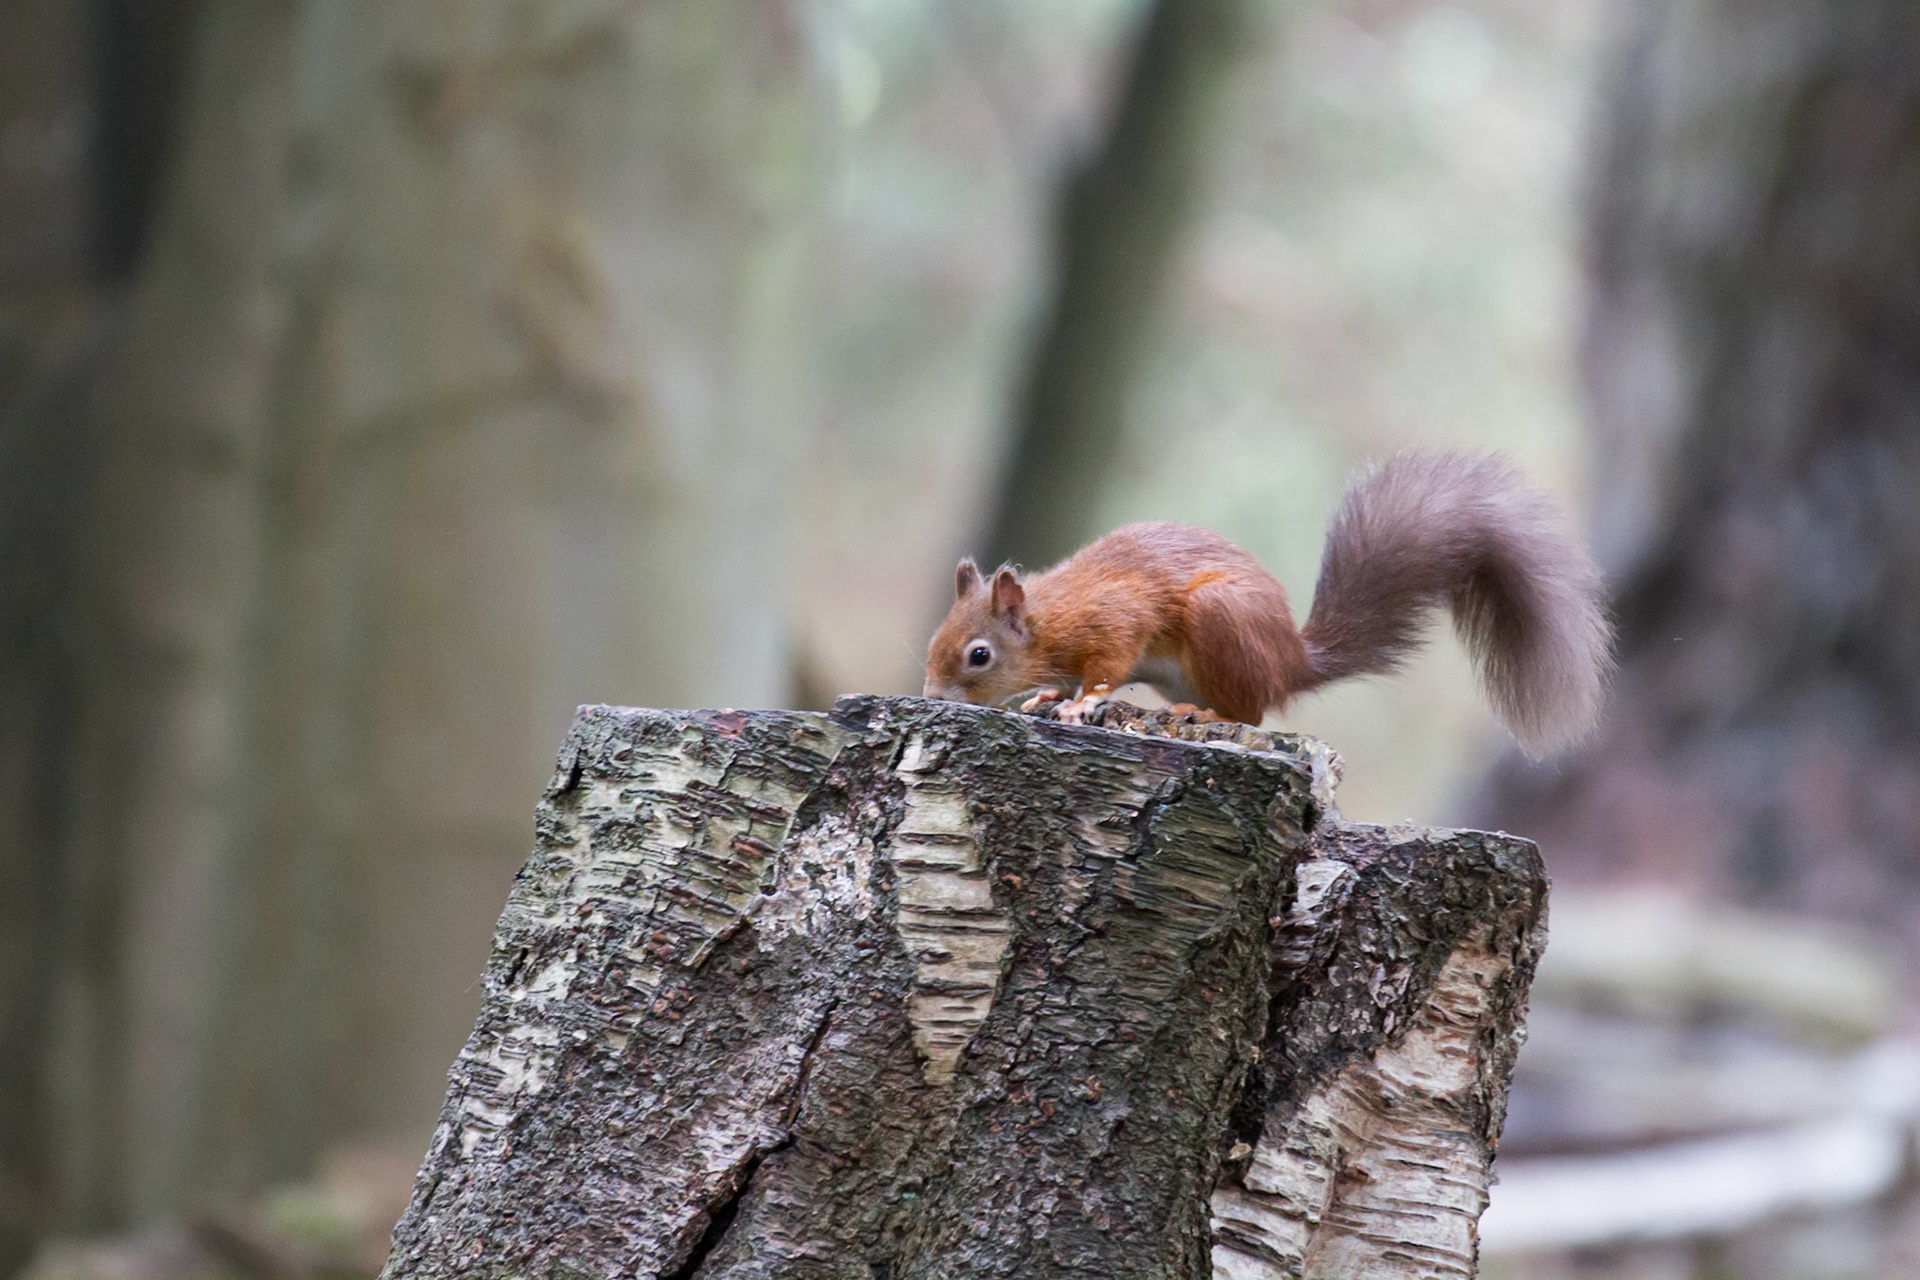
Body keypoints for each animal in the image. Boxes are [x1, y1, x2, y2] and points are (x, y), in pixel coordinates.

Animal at [923, 451, 1613, 758]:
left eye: (979, 655)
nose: (931, 697)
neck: (1049, 619)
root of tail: (1291, 662)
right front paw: (1046, 695)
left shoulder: (1115, 619)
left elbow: (1108, 666)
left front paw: (1080, 702)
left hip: (1221, 622)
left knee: (1251, 713)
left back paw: (1199, 713)